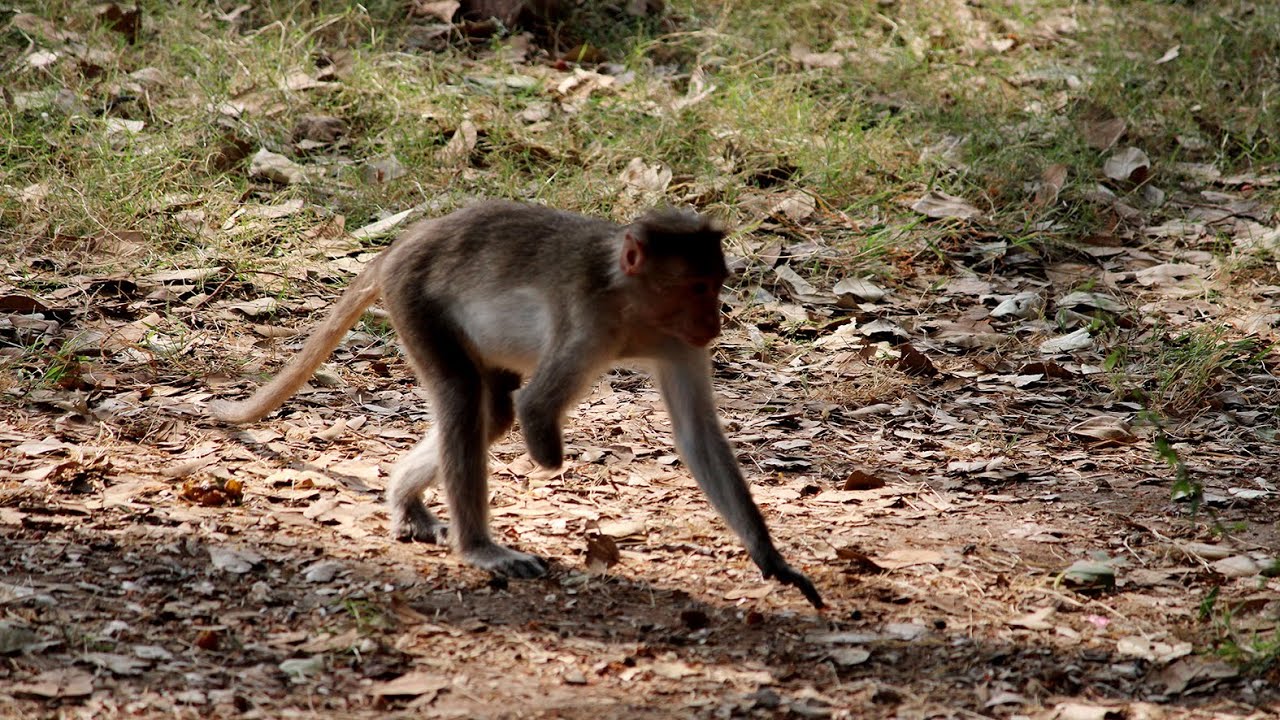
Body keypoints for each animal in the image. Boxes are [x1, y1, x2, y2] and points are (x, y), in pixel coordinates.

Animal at [210, 200, 824, 609]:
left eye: (715, 284)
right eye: (698, 287)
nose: (715, 322)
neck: (631, 307)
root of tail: (401, 246)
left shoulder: (677, 342)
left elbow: (697, 437)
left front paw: (771, 559)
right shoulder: (590, 322)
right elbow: (533, 407)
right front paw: (549, 454)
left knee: (489, 412)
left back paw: (405, 501)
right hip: (416, 300)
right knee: (466, 400)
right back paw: (478, 547)